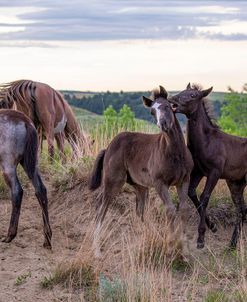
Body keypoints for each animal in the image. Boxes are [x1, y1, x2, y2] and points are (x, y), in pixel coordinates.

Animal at [0, 109, 52, 247]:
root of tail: (26, 121)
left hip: (8, 164)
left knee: (17, 191)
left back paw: (9, 235)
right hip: (31, 163)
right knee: (41, 190)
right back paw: (47, 238)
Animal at [88, 85, 194, 258]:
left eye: (167, 106)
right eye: (152, 112)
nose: (163, 124)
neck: (175, 152)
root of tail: (109, 147)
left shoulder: (184, 180)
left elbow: (184, 210)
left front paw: (184, 251)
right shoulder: (160, 183)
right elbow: (170, 210)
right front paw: (170, 247)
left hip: (140, 186)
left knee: (139, 212)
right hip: (113, 181)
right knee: (101, 208)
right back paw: (96, 250)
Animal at [170, 84, 247, 249]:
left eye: (193, 95)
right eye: (183, 90)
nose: (172, 99)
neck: (206, 142)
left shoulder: (215, 172)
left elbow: (205, 197)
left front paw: (201, 238)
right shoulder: (198, 172)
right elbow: (192, 194)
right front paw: (213, 226)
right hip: (236, 183)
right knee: (241, 209)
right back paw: (232, 244)